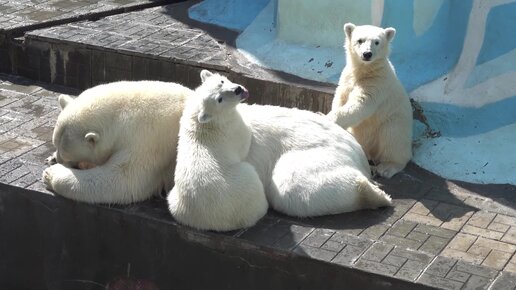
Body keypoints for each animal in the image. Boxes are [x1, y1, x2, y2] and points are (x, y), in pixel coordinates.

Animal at [42, 81, 194, 204]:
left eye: (67, 156)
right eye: (55, 145)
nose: (59, 160)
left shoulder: (146, 139)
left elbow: (123, 181)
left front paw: (50, 174)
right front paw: (51, 159)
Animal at [168, 69, 268, 231]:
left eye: (221, 81)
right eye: (219, 99)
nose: (238, 90)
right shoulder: (232, 129)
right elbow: (245, 139)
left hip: (175, 202)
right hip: (243, 186)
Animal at [328, 22, 414, 178]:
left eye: (377, 42)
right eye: (360, 40)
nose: (367, 54)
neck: (364, 71)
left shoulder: (377, 83)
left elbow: (361, 104)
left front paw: (330, 118)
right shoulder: (347, 78)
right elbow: (340, 97)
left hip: (394, 122)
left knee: (391, 137)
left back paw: (386, 168)